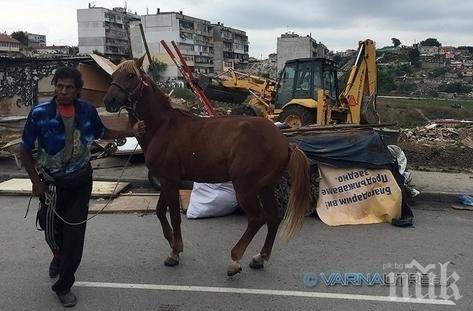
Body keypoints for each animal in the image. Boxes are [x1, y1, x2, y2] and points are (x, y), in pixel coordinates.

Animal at [103, 55, 310, 276]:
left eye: (130, 76)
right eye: (113, 75)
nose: (109, 101)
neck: (162, 126)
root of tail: (284, 141)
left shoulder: (169, 180)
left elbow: (174, 216)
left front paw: (175, 252)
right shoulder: (167, 181)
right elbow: (159, 212)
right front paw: (172, 243)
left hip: (245, 187)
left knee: (257, 218)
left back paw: (235, 259)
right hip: (265, 187)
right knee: (273, 218)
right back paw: (260, 258)